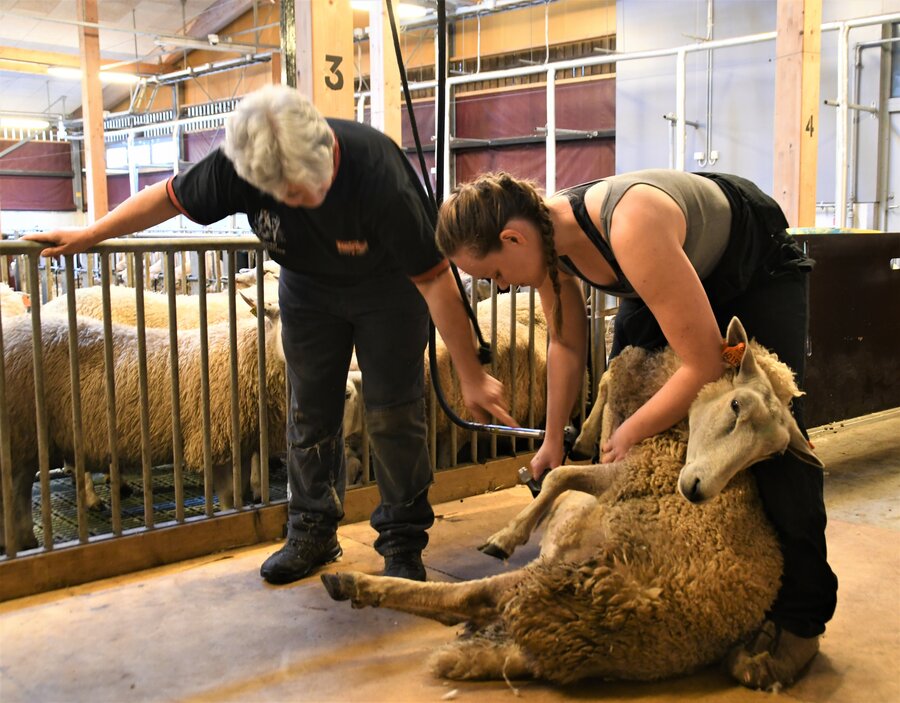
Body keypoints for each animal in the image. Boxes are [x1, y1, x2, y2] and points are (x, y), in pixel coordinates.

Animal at [0, 296, 284, 556]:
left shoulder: (241, 442)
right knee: (15, 489)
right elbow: (229, 498)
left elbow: (241, 492)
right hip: (21, 434)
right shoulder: (215, 441)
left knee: (20, 489)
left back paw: (27, 540)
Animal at [324, 320, 824, 688]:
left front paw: (507, 535)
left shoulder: (623, 467)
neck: (675, 430)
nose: (698, 490)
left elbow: (561, 472)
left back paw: (351, 584)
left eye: (770, 454)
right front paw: (577, 436)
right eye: (737, 406)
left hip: (547, 579)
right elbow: (603, 384)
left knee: (466, 596)